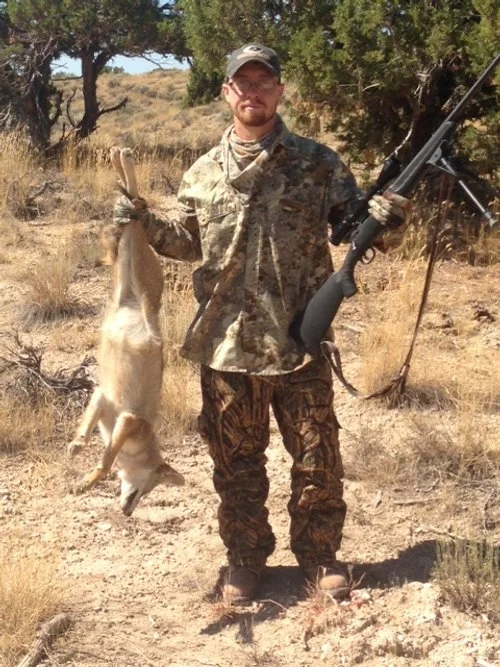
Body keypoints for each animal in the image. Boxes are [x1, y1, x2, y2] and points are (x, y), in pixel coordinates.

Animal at [68, 147, 184, 515]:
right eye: (154, 485)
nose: (129, 511)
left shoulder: (108, 403)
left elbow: (100, 451)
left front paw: (79, 450)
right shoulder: (120, 414)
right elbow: (106, 461)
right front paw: (85, 471)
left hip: (130, 267)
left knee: (132, 201)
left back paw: (119, 157)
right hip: (145, 269)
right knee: (133, 202)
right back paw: (125, 166)